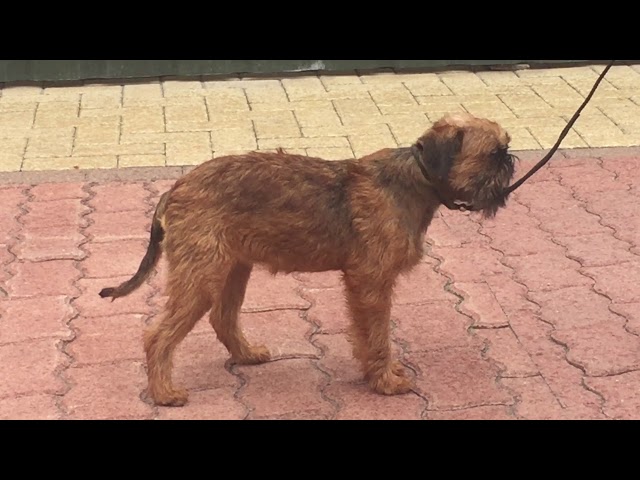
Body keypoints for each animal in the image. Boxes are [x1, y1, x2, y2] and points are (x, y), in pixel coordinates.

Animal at [101, 114, 520, 406]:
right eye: (493, 155)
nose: (512, 162)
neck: (417, 180)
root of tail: (175, 189)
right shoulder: (370, 282)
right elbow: (377, 335)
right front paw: (384, 380)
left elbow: (368, 335)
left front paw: (377, 372)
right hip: (201, 278)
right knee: (158, 335)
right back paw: (163, 393)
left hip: (233, 269)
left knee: (222, 318)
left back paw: (246, 354)